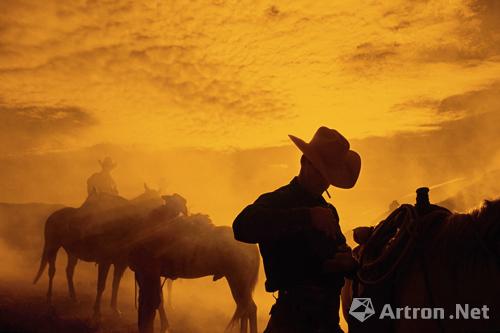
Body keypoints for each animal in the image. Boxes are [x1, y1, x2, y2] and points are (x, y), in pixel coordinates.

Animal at [33, 184, 166, 320]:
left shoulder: (120, 263)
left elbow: (115, 284)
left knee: (69, 271)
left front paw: (115, 309)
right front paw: (97, 312)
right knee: (51, 271)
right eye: (153, 203)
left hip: (72, 253)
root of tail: (51, 217)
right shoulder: (104, 262)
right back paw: (49, 300)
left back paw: (74, 297)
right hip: (52, 247)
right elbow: (101, 286)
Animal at [129, 195, 260, 332]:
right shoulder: (150, 275)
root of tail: (252, 246)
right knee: (245, 308)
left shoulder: (148, 272)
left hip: (238, 281)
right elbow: (157, 302)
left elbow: (150, 305)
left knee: (249, 308)